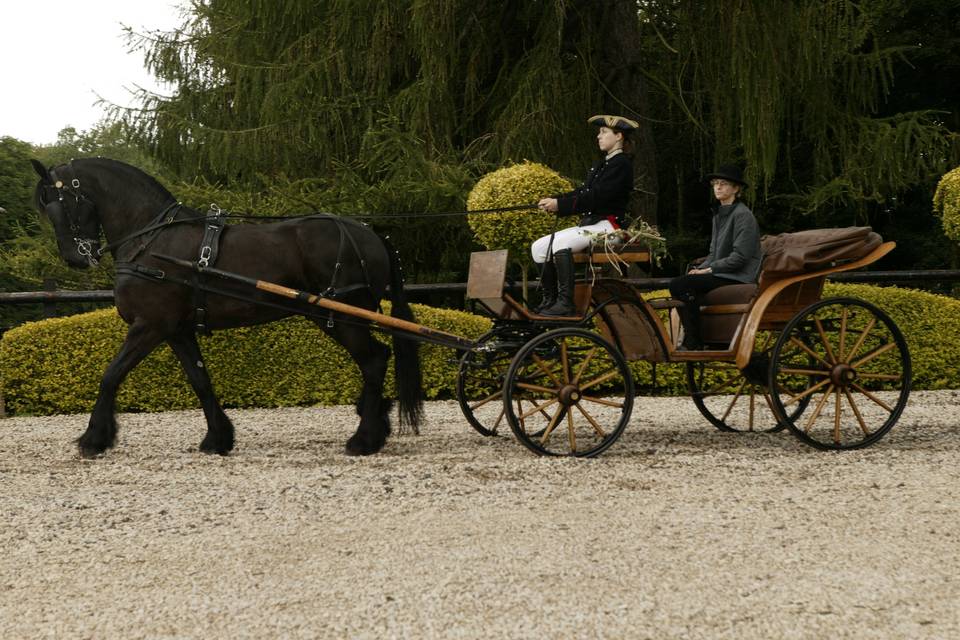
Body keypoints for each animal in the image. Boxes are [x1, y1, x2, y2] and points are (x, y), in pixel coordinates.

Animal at [31, 158, 420, 458]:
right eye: (47, 207)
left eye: (62, 203)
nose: (75, 257)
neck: (152, 241)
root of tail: (370, 233)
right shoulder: (177, 330)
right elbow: (200, 380)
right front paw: (218, 438)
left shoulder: (149, 325)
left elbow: (111, 375)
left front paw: (94, 439)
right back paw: (375, 424)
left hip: (340, 316)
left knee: (374, 360)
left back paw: (363, 439)